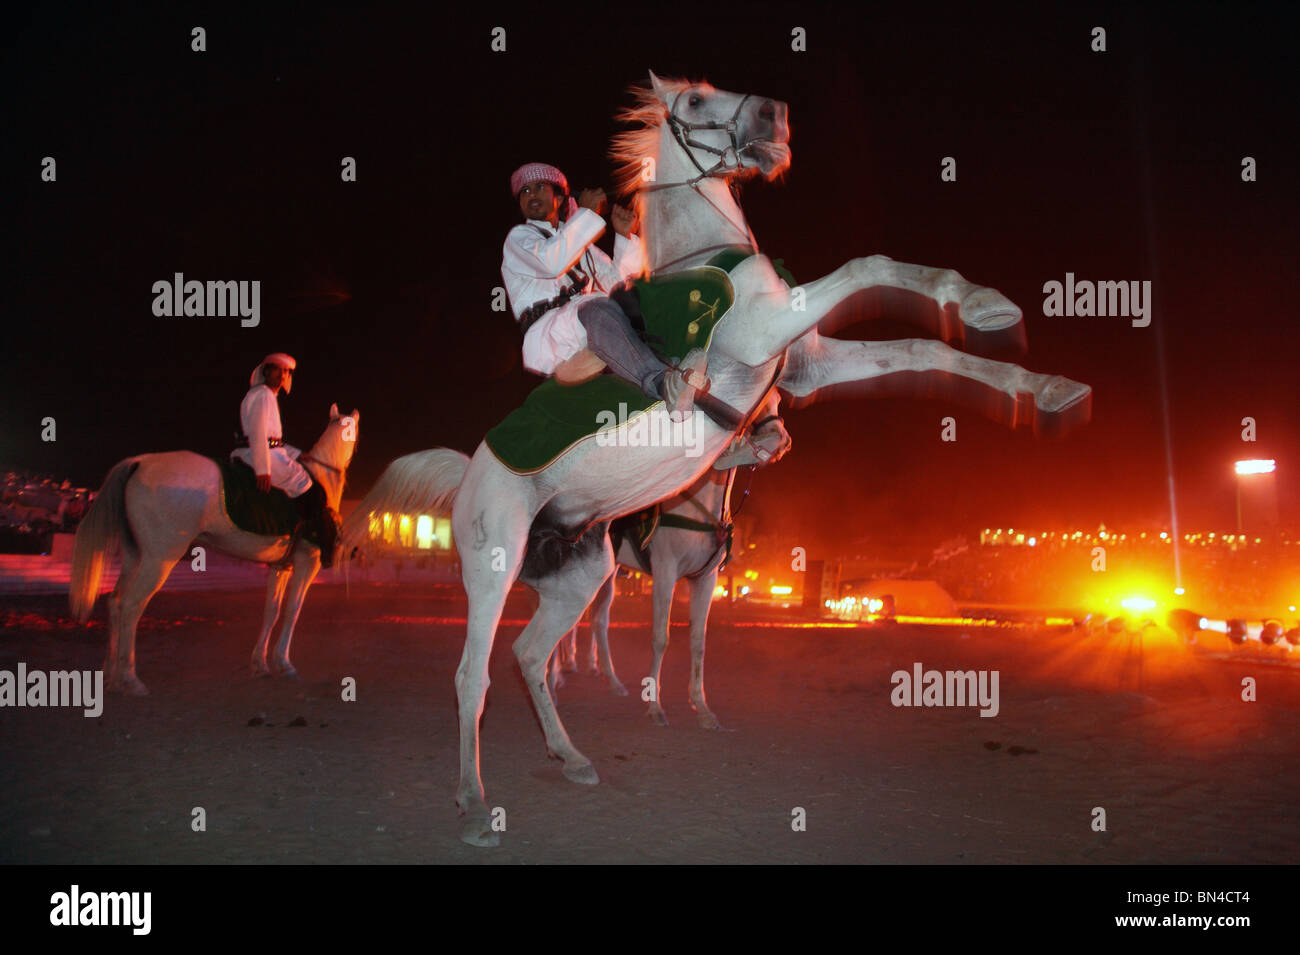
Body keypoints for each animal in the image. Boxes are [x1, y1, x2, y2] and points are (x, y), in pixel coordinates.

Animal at [69, 402, 358, 696]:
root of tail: (140, 462)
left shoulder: (280, 567)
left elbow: (272, 610)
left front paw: (260, 664)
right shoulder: (306, 563)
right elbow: (292, 610)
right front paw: (284, 664)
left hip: (135, 558)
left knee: (115, 602)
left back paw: (110, 675)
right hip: (159, 560)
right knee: (130, 606)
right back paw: (129, 678)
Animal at [351, 76, 1092, 852]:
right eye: (698, 102)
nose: (776, 118)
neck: (710, 258)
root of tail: (472, 474)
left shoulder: (805, 362)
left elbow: (923, 348)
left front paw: (1030, 363)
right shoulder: (771, 327)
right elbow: (872, 267)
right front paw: (985, 308)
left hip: (580, 572)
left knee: (529, 656)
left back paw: (571, 757)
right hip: (493, 564)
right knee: (473, 676)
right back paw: (473, 803)